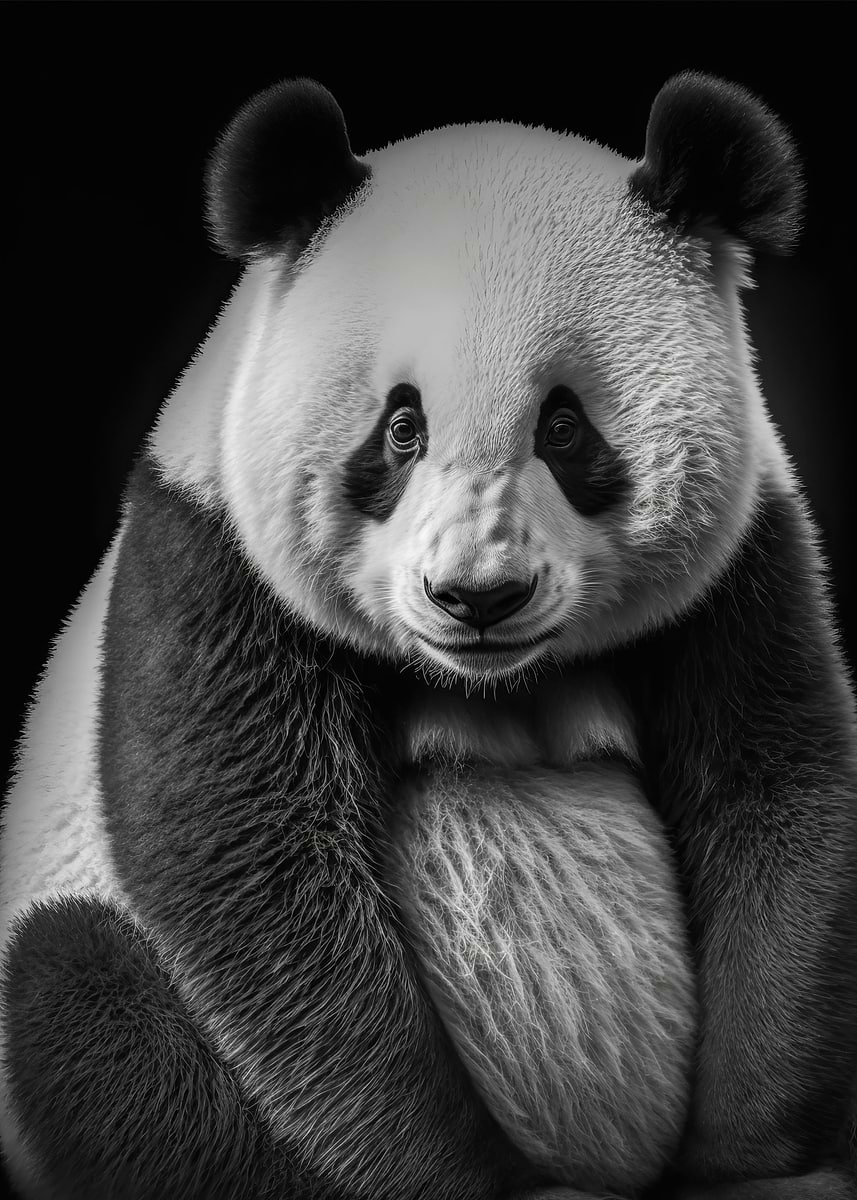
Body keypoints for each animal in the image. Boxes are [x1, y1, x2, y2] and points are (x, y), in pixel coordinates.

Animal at [1, 70, 855, 1200]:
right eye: (400, 429)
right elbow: (259, 871)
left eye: (564, 428)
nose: (476, 597)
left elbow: (775, 800)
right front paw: (458, 1177)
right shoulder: (213, 564)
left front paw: (753, 1165)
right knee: (82, 1006)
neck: (496, 679)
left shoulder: (739, 565)